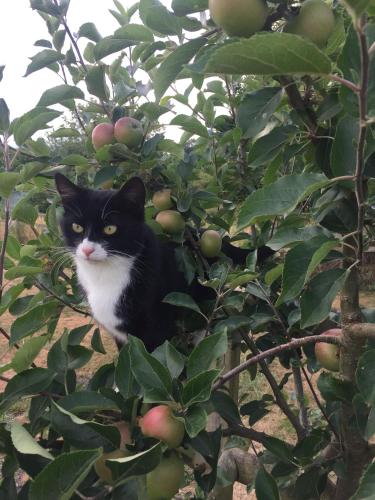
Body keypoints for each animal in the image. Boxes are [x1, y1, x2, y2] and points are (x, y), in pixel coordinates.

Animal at [55, 175, 274, 352]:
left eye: (110, 229)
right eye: (76, 227)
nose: (87, 250)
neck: (104, 274)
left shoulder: (156, 324)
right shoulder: (118, 332)